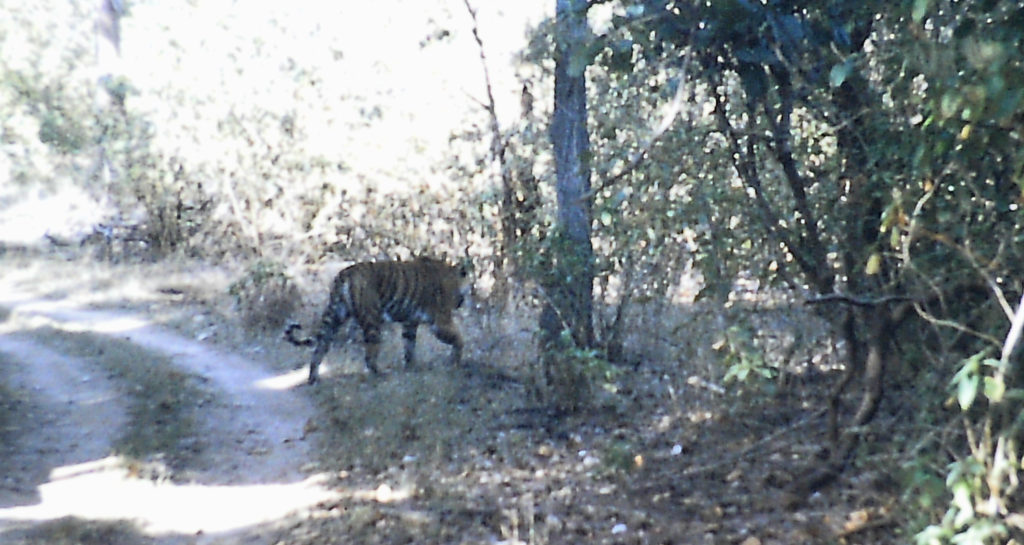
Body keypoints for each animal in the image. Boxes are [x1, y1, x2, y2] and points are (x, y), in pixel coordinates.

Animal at [282, 255, 468, 383]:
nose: (462, 301)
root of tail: (344, 274)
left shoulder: (410, 322)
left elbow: (409, 346)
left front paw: (412, 367)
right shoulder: (440, 321)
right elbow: (459, 339)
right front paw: (456, 362)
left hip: (336, 316)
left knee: (320, 347)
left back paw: (313, 379)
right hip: (372, 320)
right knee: (370, 356)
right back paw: (381, 374)